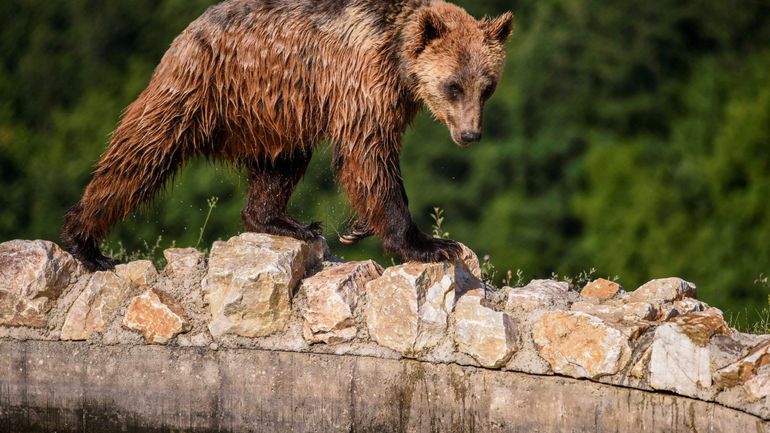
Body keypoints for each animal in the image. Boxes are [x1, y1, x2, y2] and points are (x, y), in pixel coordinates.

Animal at [63, 0, 512, 270]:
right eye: (453, 85)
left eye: (487, 86)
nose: (470, 134)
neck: (398, 54)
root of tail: (189, 29)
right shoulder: (363, 78)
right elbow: (367, 152)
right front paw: (431, 244)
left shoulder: (392, 95)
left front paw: (357, 227)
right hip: (206, 85)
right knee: (143, 152)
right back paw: (86, 243)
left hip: (276, 110)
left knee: (282, 162)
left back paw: (287, 222)